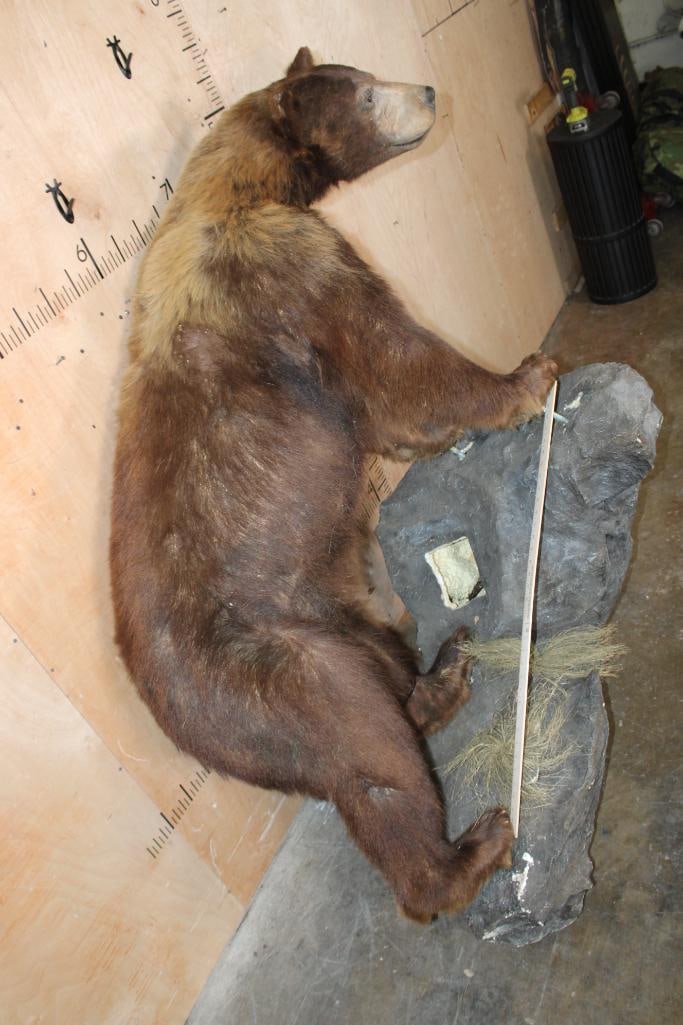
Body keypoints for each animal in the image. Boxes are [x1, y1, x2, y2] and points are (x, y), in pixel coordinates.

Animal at [110, 47, 557, 922]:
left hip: (332, 605)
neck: (247, 185)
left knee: (387, 674)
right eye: (363, 92)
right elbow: (396, 366)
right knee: (368, 747)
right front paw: (527, 373)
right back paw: (468, 847)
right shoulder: (288, 269)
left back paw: (444, 667)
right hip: (272, 672)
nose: (427, 89)